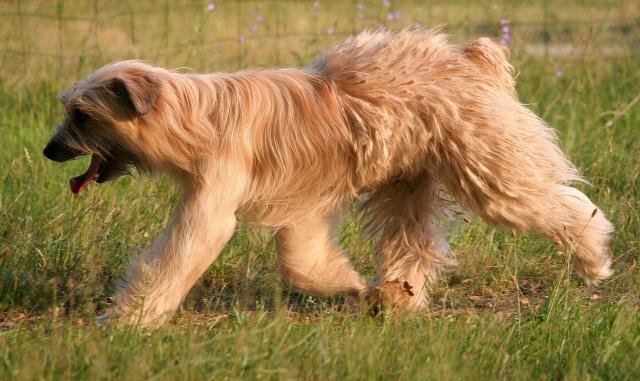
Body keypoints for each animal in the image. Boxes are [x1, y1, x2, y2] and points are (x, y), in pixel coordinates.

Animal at [42, 29, 612, 326]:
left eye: (82, 116)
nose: (48, 151)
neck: (193, 114)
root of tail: (469, 59)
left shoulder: (213, 202)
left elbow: (176, 256)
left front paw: (126, 321)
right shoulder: (301, 212)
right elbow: (304, 261)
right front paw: (352, 286)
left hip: (489, 168)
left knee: (557, 204)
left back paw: (594, 255)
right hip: (408, 187)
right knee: (412, 245)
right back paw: (396, 297)